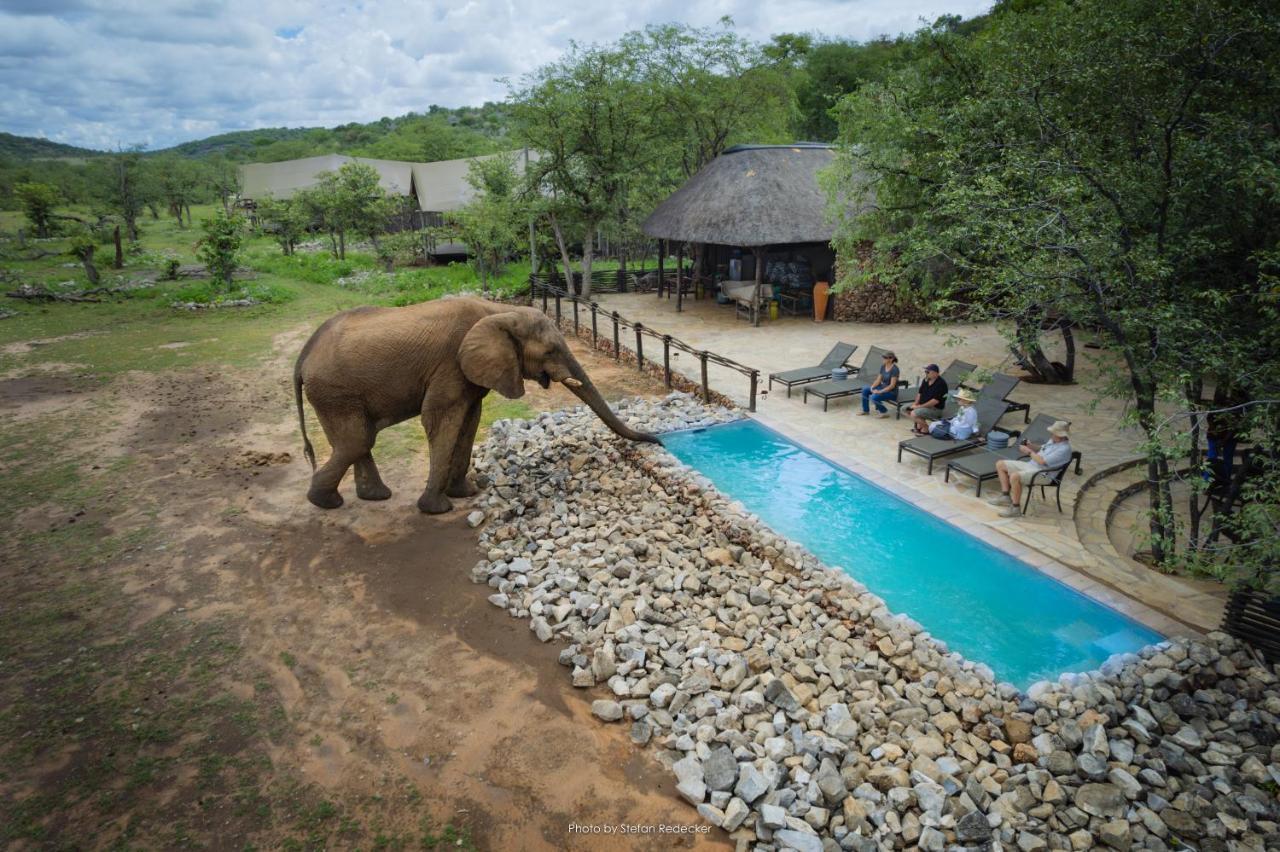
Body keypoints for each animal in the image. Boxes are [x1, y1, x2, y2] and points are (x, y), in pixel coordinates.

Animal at [291, 298, 660, 511]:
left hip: (334, 393)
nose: (657, 439)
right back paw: (326, 502)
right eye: (551, 350)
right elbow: (442, 419)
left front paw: (466, 493)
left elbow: (470, 419)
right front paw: (437, 508)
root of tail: (303, 356)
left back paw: (374, 497)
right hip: (334, 390)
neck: (500, 312)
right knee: (358, 440)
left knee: (356, 441)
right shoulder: (451, 363)